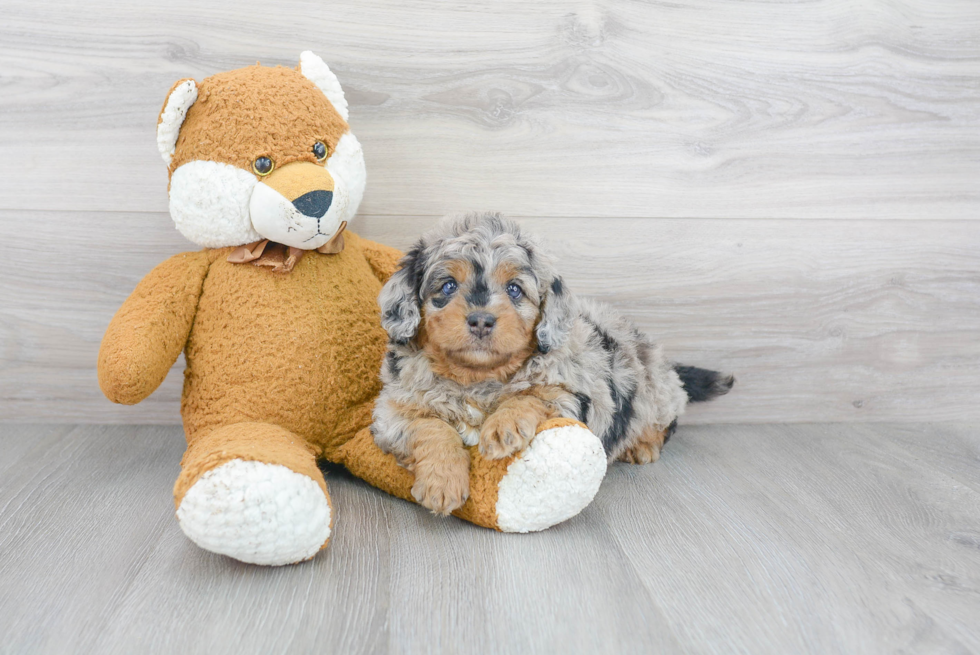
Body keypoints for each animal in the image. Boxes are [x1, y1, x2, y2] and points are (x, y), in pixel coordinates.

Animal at [372, 213, 732, 516]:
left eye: (514, 289)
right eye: (448, 285)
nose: (481, 320)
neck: (478, 377)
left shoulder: (575, 397)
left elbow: (532, 395)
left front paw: (504, 425)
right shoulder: (390, 414)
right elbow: (430, 427)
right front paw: (443, 482)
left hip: (653, 394)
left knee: (664, 424)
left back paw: (642, 446)